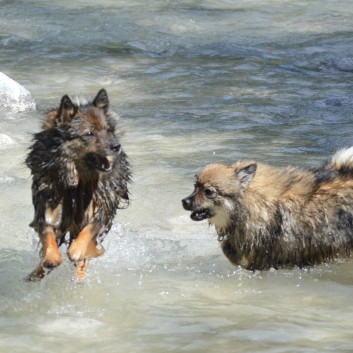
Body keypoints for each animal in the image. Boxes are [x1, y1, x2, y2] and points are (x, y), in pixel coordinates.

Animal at [26, 88, 131, 280]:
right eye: (89, 133)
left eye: (108, 130)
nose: (116, 146)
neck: (77, 181)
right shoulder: (47, 200)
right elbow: (46, 231)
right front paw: (51, 257)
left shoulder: (99, 206)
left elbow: (87, 235)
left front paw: (79, 251)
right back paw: (37, 272)